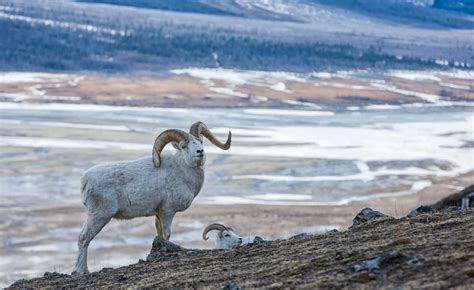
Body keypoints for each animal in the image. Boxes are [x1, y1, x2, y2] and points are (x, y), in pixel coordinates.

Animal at [71, 121, 231, 274]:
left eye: (200, 142)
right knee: (83, 239)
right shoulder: (168, 211)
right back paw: (80, 271)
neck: (181, 171)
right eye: (184, 146)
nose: (200, 152)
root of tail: (85, 181)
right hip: (99, 216)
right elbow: (166, 235)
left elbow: (159, 234)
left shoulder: (158, 213)